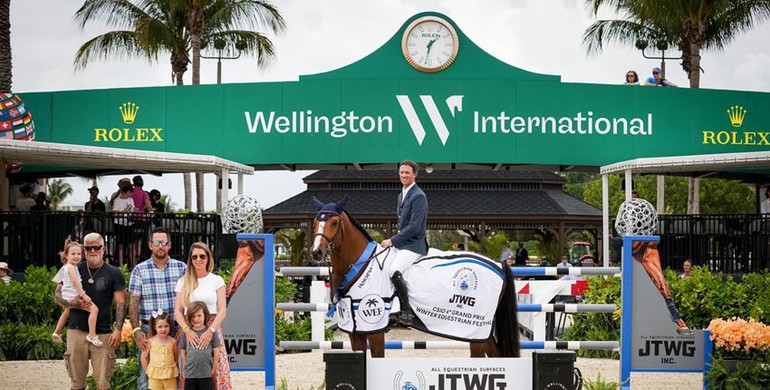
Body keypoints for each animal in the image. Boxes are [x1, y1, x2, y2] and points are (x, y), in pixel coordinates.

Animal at [308, 197, 520, 358]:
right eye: (316, 222)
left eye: (334, 222)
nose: (316, 252)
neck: (361, 264)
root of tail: (498, 264)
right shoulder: (355, 330)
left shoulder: (375, 328)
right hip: (483, 334)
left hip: (475, 333)